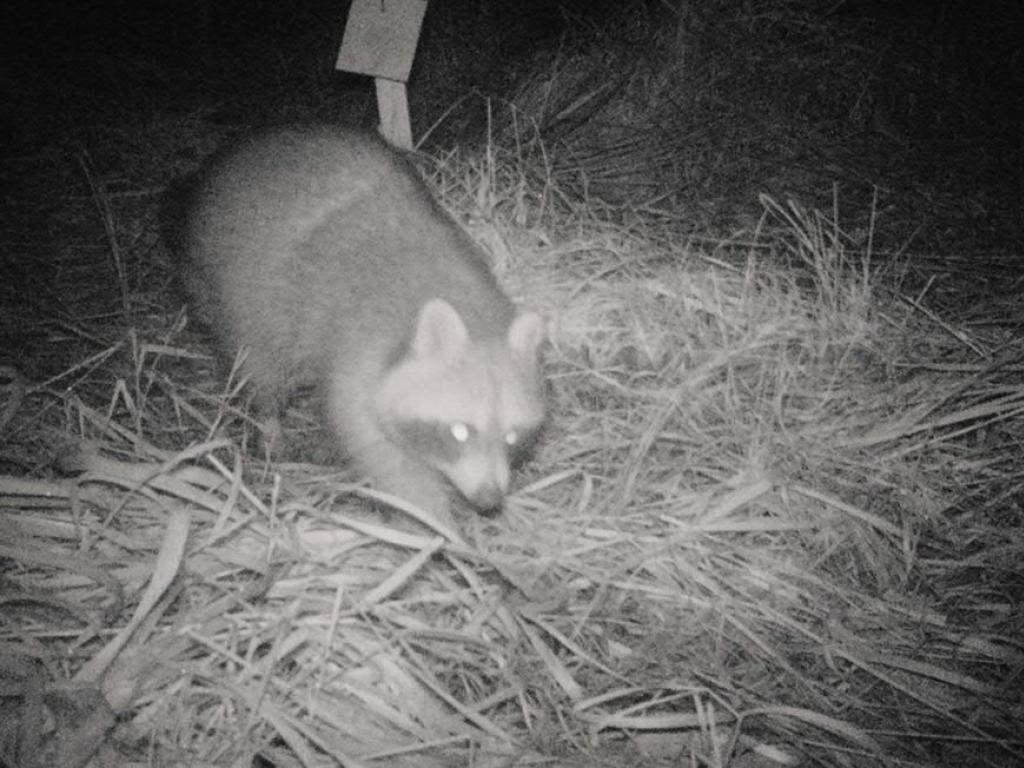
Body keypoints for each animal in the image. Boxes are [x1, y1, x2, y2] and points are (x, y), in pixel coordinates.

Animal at [172, 126, 548, 532]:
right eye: (460, 430)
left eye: (513, 436)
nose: (489, 499)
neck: (465, 304)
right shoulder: (359, 356)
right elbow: (381, 453)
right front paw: (433, 522)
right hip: (235, 289)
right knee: (260, 366)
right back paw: (269, 424)